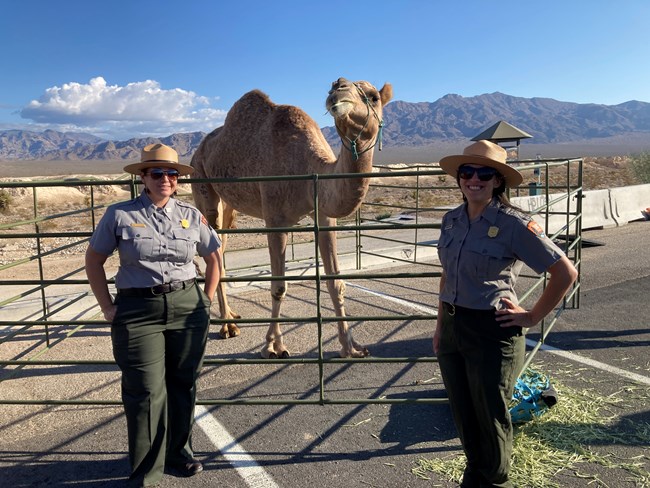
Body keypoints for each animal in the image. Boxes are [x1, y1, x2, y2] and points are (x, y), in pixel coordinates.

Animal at [187, 76, 390, 358]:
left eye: (373, 97)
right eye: (335, 86)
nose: (339, 90)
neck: (308, 166)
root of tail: (198, 150)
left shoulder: (325, 216)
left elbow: (336, 283)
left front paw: (351, 347)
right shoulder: (275, 219)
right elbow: (279, 286)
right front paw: (273, 346)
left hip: (228, 205)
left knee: (220, 249)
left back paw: (232, 317)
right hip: (202, 181)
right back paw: (226, 326)